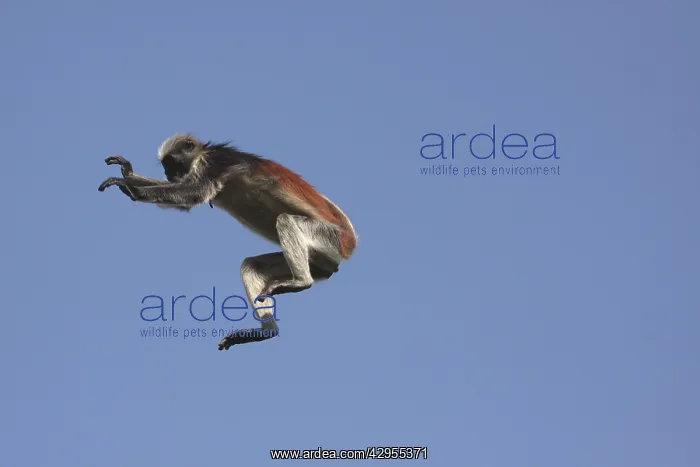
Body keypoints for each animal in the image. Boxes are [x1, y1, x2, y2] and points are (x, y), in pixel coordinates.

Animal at [98, 134, 357, 351]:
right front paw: (130, 175)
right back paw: (266, 332)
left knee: (284, 220)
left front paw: (131, 187)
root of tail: (348, 242)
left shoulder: (214, 163)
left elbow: (193, 193)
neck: (201, 155)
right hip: (319, 262)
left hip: (328, 237)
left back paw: (301, 282)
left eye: (172, 165)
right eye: (165, 168)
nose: (169, 176)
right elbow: (185, 202)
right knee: (251, 265)